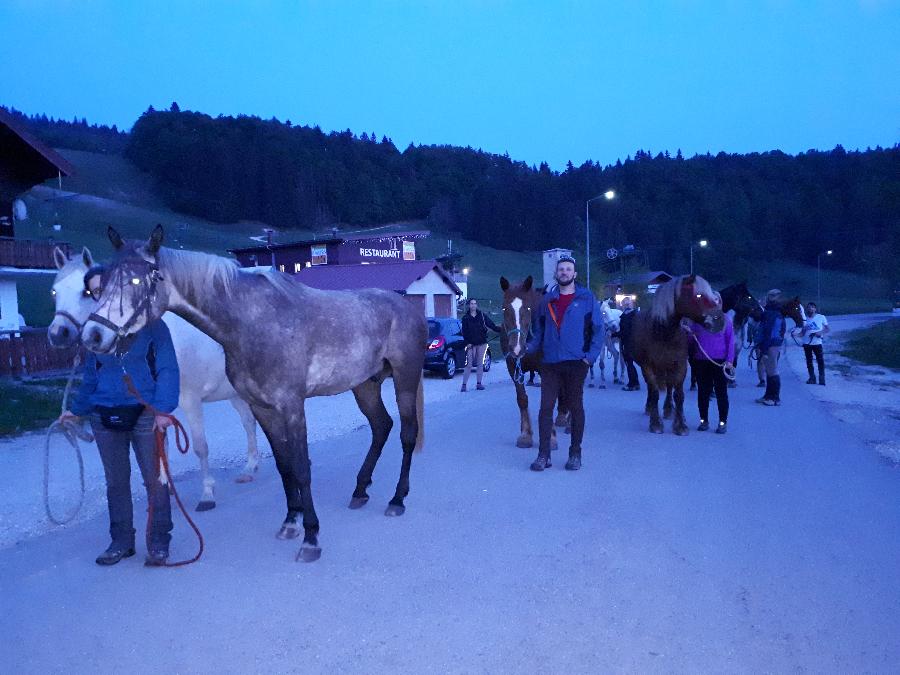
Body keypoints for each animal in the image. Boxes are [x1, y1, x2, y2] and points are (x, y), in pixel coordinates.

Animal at [49, 246, 258, 510]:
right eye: (55, 291)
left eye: (86, 292)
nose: (58, 334)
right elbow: (162, 447)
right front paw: (164, 488)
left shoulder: (191, 401)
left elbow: (200, 447)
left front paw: (207, 493)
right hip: (234, 392)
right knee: (249, 423)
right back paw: (250, 468)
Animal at [80, 227, 426, 564]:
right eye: (103, 283)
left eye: (137, 280)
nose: (93, 336)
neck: (251, 322)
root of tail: (408, 307)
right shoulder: (262, 408)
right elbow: (285, 467)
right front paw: (290, 522)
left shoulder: (291, 406)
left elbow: (302, 469)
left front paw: (311, 538)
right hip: (365, 385)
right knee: (381, 426)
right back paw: (360, 490)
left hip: (405, 378)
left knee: (407, 433)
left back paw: (397, 499)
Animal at [632, 276, 724, 438]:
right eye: (698, 295)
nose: (718, 319)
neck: (664, 333)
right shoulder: (647, 366)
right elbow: (654, 392)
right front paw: (655, 424)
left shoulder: (680, 365)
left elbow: (679, 395)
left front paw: (680, 425)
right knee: (652, 389)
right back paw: (650, 409)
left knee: (669, 388)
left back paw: (669, 410)